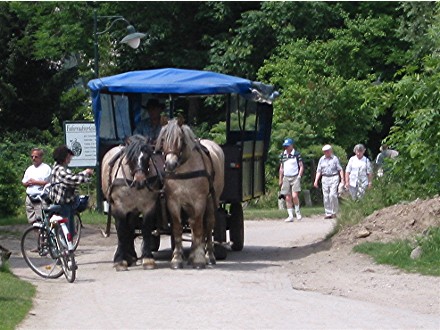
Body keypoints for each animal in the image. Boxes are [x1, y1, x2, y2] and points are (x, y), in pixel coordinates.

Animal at [101, 134, 163, 270]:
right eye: (131, 158)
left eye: (147, 156)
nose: (140, 181)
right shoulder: (119, 207)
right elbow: (121, 231)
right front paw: (120, 260)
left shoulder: (148, 206)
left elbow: (146, 229)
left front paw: (148, 259)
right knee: (123, 229)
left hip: (133, 210)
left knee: (130, 227)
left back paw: (131, 256)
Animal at [156, 118, 225, 268]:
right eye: (163, 139)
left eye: (181, 139)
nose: (170, 165)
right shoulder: (173, 202)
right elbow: (178, 228)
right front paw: (177, 258)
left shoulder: (199, 200)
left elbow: (199, 227)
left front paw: (199, 259)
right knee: (193, 224)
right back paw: (192, 255)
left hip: (211, 200)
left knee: (208, 224)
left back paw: (209, 256)